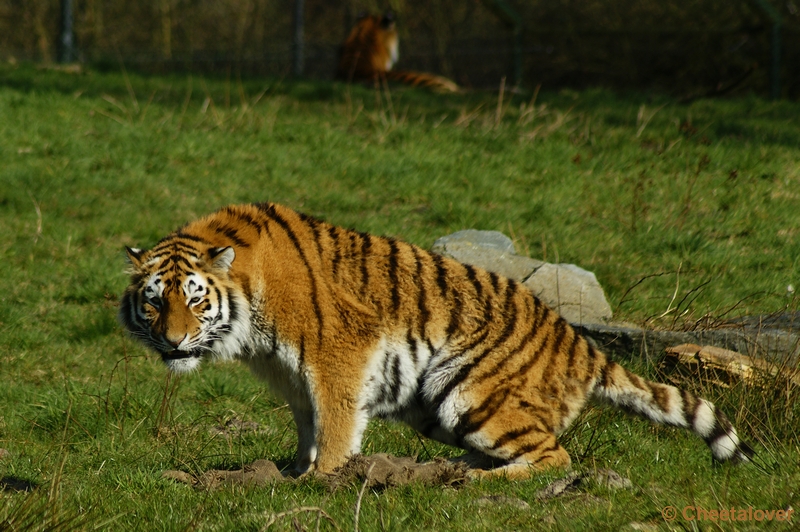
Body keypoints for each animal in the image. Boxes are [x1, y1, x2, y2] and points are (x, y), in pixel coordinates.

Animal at [119, 203, 752, 478]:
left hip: (470, 394)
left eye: (194, 300)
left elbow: (336, 420)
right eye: (153, 301)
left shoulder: (340, 352)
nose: (173, 342)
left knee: (554, 456)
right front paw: (289, 473)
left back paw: (474, 480)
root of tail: (584, 345)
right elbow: (307, 422)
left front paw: (324, 480)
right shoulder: (293, 374)